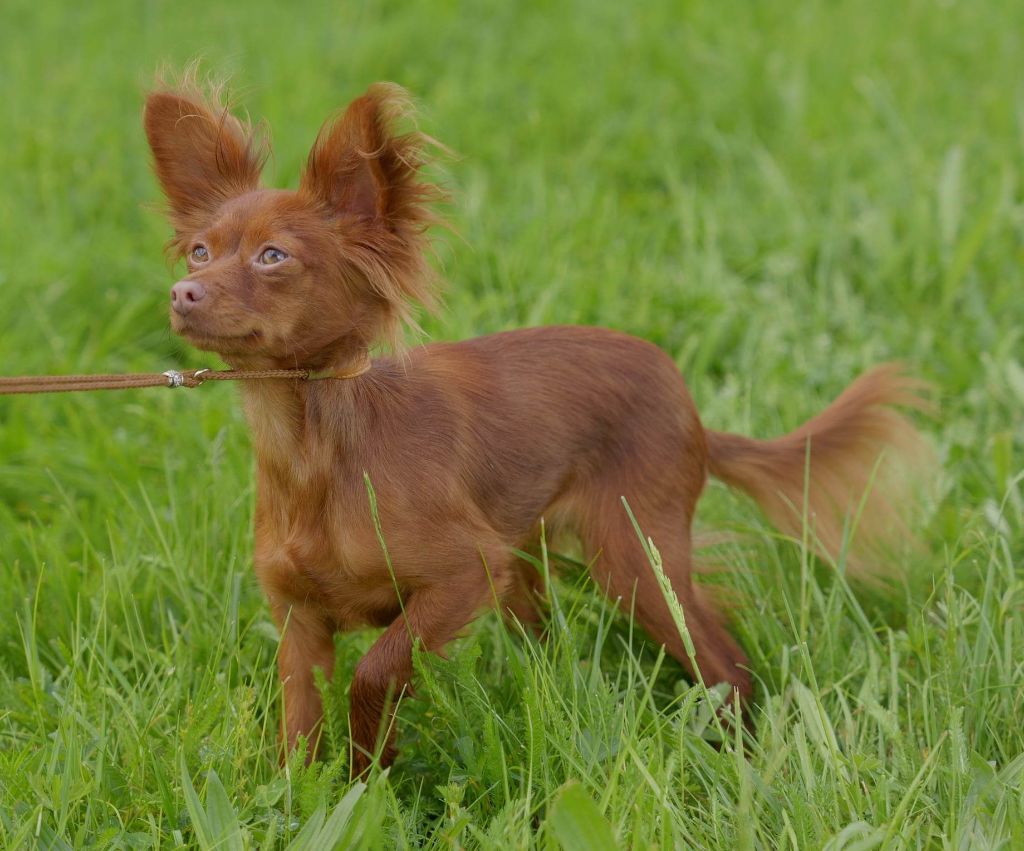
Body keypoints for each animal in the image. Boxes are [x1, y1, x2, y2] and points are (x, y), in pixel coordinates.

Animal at [146, 76, 929, 774]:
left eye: (273, 256)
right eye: (200, 251)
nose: (182, 293)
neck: (316, 446)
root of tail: (694, 411)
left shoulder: (465, 574)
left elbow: (375, 672)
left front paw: (371, 774)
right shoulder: (301, 623)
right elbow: (299, 732)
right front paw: (314, 801)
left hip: (631, 554)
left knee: (726, 664)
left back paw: (736, 757)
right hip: (534, 566)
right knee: (554, 647)